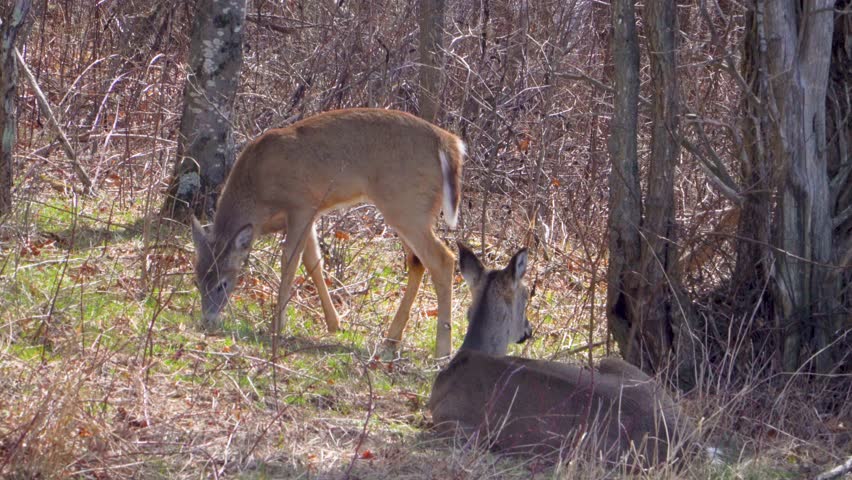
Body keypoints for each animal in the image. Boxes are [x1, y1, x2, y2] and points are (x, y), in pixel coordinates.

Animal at [190, 108, 465, 357]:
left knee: (442, 259)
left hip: (407, 205)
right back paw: (392, 339)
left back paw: (442, 349)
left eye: (223, 284)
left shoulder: (301, 204)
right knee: (417, 261)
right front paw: (334, 323)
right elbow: (313, 263)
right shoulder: (311, 214)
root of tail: (449, 143)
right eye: (197, 279)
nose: (207, 320)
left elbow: (290, 262)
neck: (257, 193)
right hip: (407, 209)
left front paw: (277, 325)